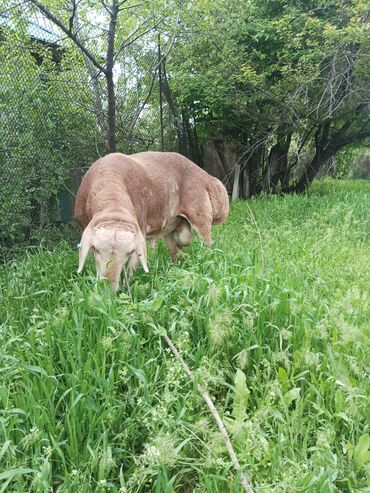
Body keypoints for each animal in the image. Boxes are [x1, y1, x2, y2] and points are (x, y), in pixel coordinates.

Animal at [75, 150, 228, 288]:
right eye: (95, 250)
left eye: (128, 253)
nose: (108, 287)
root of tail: (206, 176)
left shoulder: (139, 230)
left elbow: (131, 270)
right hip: (172, 229)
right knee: (177, 250)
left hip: (200, 217)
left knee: (207, 246)